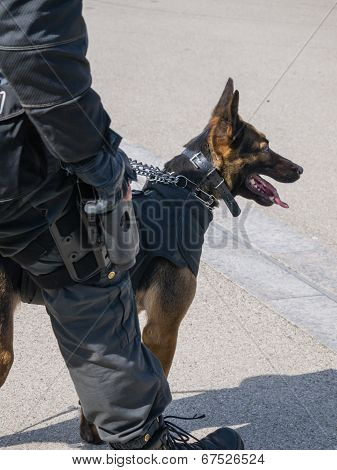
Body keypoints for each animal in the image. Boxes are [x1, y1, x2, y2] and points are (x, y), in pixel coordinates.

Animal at [0, 80, 302, 444]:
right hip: (3, 350)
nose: (300, 170)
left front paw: (93, 433)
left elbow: (99, 389)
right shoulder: (162, 329)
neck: (187, 190)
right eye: (264, 147)